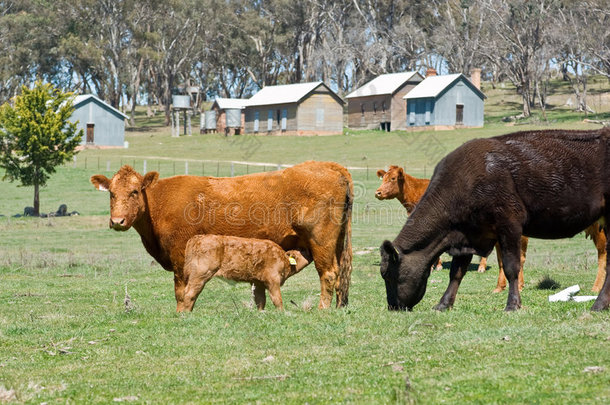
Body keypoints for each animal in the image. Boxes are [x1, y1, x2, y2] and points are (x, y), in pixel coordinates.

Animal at [182, 234, 312, 310]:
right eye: (303, 250)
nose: (311, 250)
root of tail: (198, 237)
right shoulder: (273, 280)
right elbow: (277, 300)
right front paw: (283, 313)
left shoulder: (258, 282)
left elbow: (260, 301)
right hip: (200, 274)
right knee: (189, 294)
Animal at [380, 128, 608, 310]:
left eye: (388, 274)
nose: (393, 307)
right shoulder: (467, 234)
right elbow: (456, 272)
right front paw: (443, 304)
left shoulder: (509, 226)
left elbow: (511, 266)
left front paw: (513, 304)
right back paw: (600, 304)